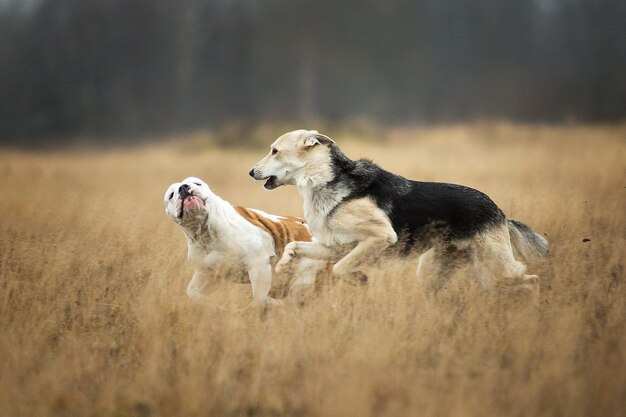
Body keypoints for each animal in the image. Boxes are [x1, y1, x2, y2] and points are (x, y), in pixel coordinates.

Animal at [161, 176, 326, 306]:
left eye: (197, 183)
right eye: (171, 195)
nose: (183, 187)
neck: (206, 232)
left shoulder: (259, 264)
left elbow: (259, 297)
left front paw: (271, 304)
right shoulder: (209, 275)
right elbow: (192, 292)